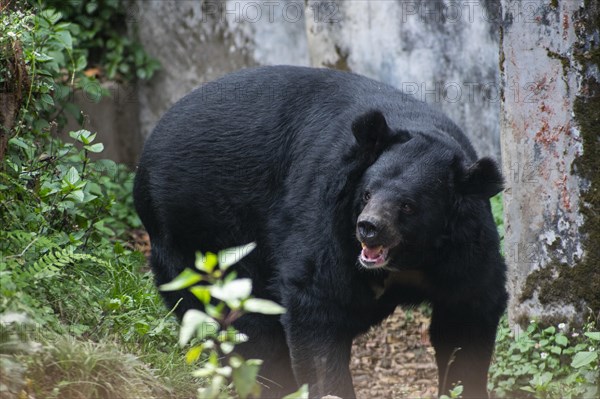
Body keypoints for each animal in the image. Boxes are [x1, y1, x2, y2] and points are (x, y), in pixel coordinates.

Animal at [134, 66, 508, 399]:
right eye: (367, 193)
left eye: (408, 206)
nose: (369, 228)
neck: (410, 258)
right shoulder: (328, 217)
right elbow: (316, 304)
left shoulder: (465, 249)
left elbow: (467, 315)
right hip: (201, 233)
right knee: (245, 326)